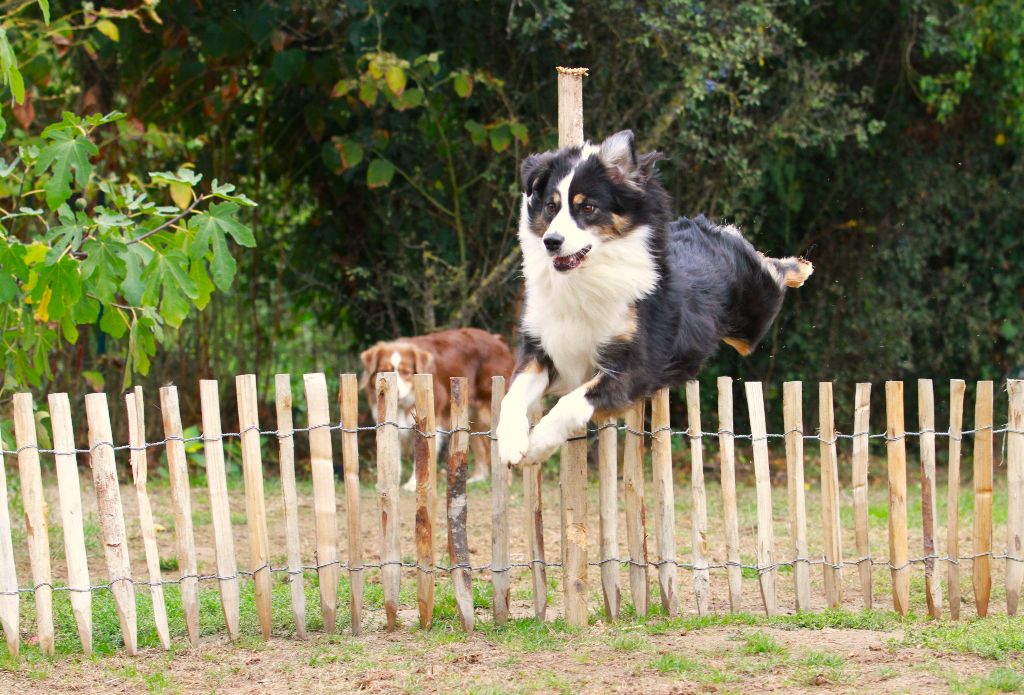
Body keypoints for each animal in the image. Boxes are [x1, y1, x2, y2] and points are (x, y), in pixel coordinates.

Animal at [362, 329, 520, 491]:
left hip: (489, 406)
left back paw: (506, 481)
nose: (396, 392)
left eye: (406, 372)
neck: (403, 404)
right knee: (481, 445)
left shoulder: (431, 418)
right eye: (384, 371)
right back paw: (477, 478)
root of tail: (498, 341)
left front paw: (413, 484)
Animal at [497, 130, 815, 466]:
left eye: (588, 208)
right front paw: (511, 441)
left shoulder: (636, 368)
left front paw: (536, 447)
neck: (586, 277)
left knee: (768, 267)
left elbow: (571, 403)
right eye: (551, 206)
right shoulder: (541, 345)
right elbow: (512, 394)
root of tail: (706, 229)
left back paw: (799, 267)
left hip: (752, 321)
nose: (551, 241)